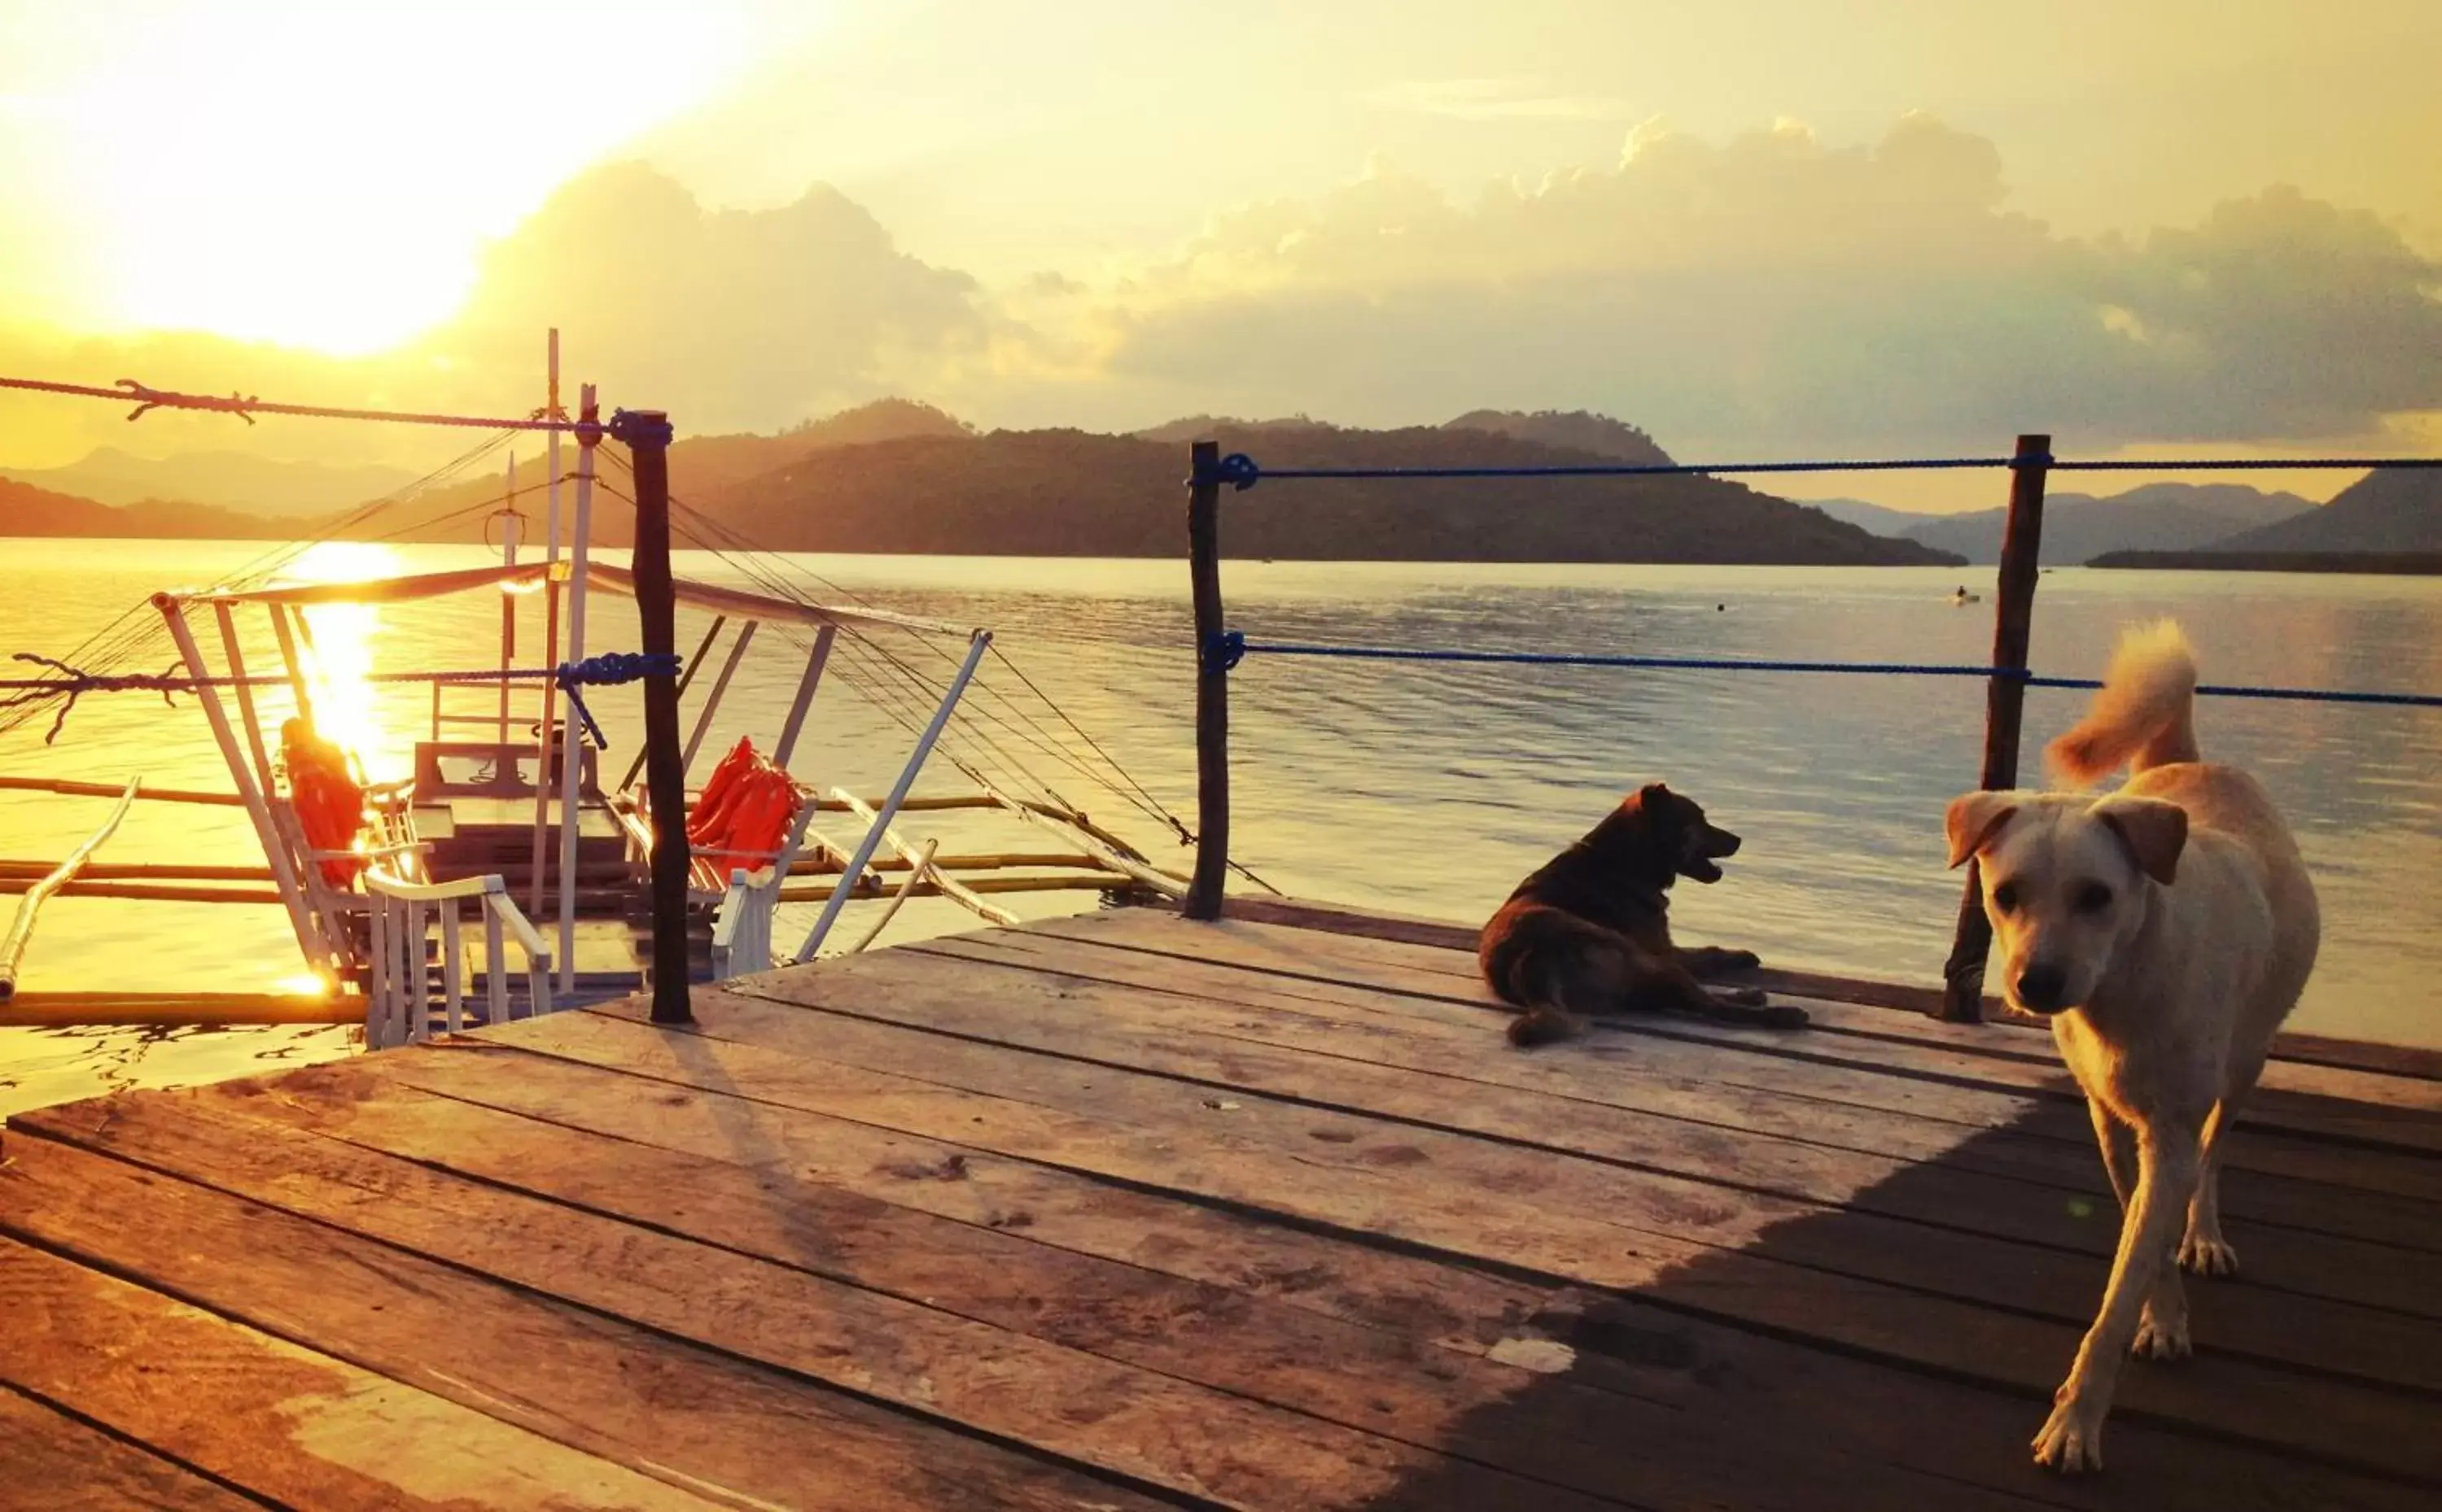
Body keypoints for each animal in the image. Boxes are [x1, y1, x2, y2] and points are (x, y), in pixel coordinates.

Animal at [1475, 786, 1807, 1045]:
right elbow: (1707, 954)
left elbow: (1705, 953)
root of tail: (1531, 962)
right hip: (1640, 957)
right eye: (1699, 819)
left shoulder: (1666, 950)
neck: (1622, 861)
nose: (1738, 839)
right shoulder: (1663, 950)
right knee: (1710, 1005)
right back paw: (1781, 1014)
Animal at [1944, 620, 2325, 1475]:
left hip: (2246, 1063)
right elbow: (2135, 1237)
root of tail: (2191, 760)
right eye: (2005, 895)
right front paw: (2165, 1316)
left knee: (2216, 1154)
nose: (2037, 982)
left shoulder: (2171, 1135)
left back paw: (2205, 1235)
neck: (2123, 990)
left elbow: (2124, 1283)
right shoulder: (2113, 1124)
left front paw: (2077, 1421)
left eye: (2097, 897)